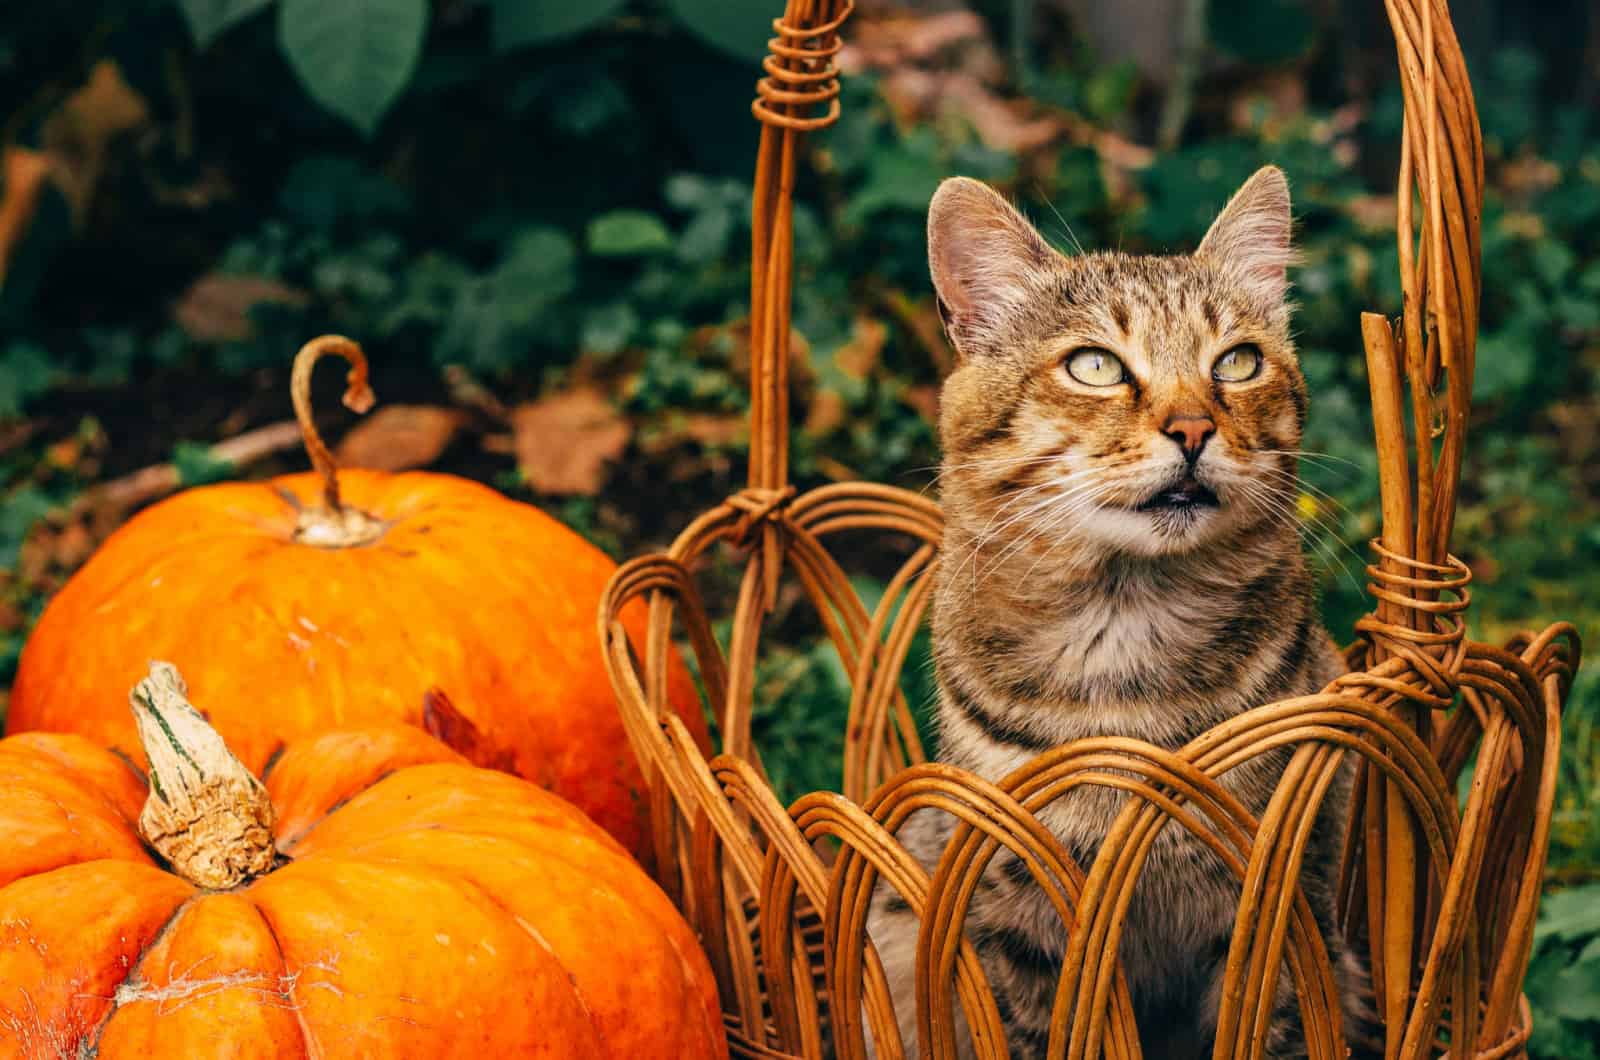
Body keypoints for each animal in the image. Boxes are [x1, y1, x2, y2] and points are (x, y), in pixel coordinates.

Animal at [870, 170, 1369, 1056]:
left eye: (1238, 362)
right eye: (1096, 365)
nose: (1194, 428)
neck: (1126, 629)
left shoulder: (1280, 905)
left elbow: (1272, 1027)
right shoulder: (1022, 919)